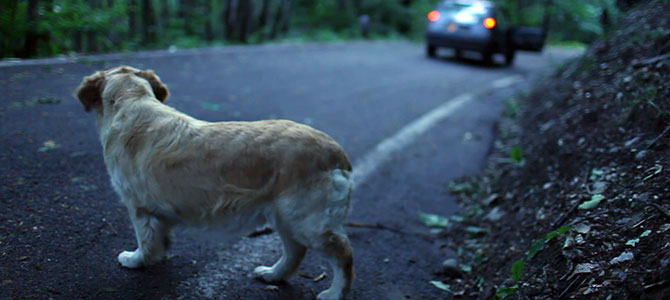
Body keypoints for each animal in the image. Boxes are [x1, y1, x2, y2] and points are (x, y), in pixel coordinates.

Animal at [74, 66, 356, 300]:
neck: (132, 99)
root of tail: (337, 153)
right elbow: (160, 238)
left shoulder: (138, 206)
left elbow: (144, 239)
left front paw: (136, 260)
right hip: (284, 216)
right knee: (295, 252)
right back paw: (273, 274)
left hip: (306, 220)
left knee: (343, 254)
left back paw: (334, 293)